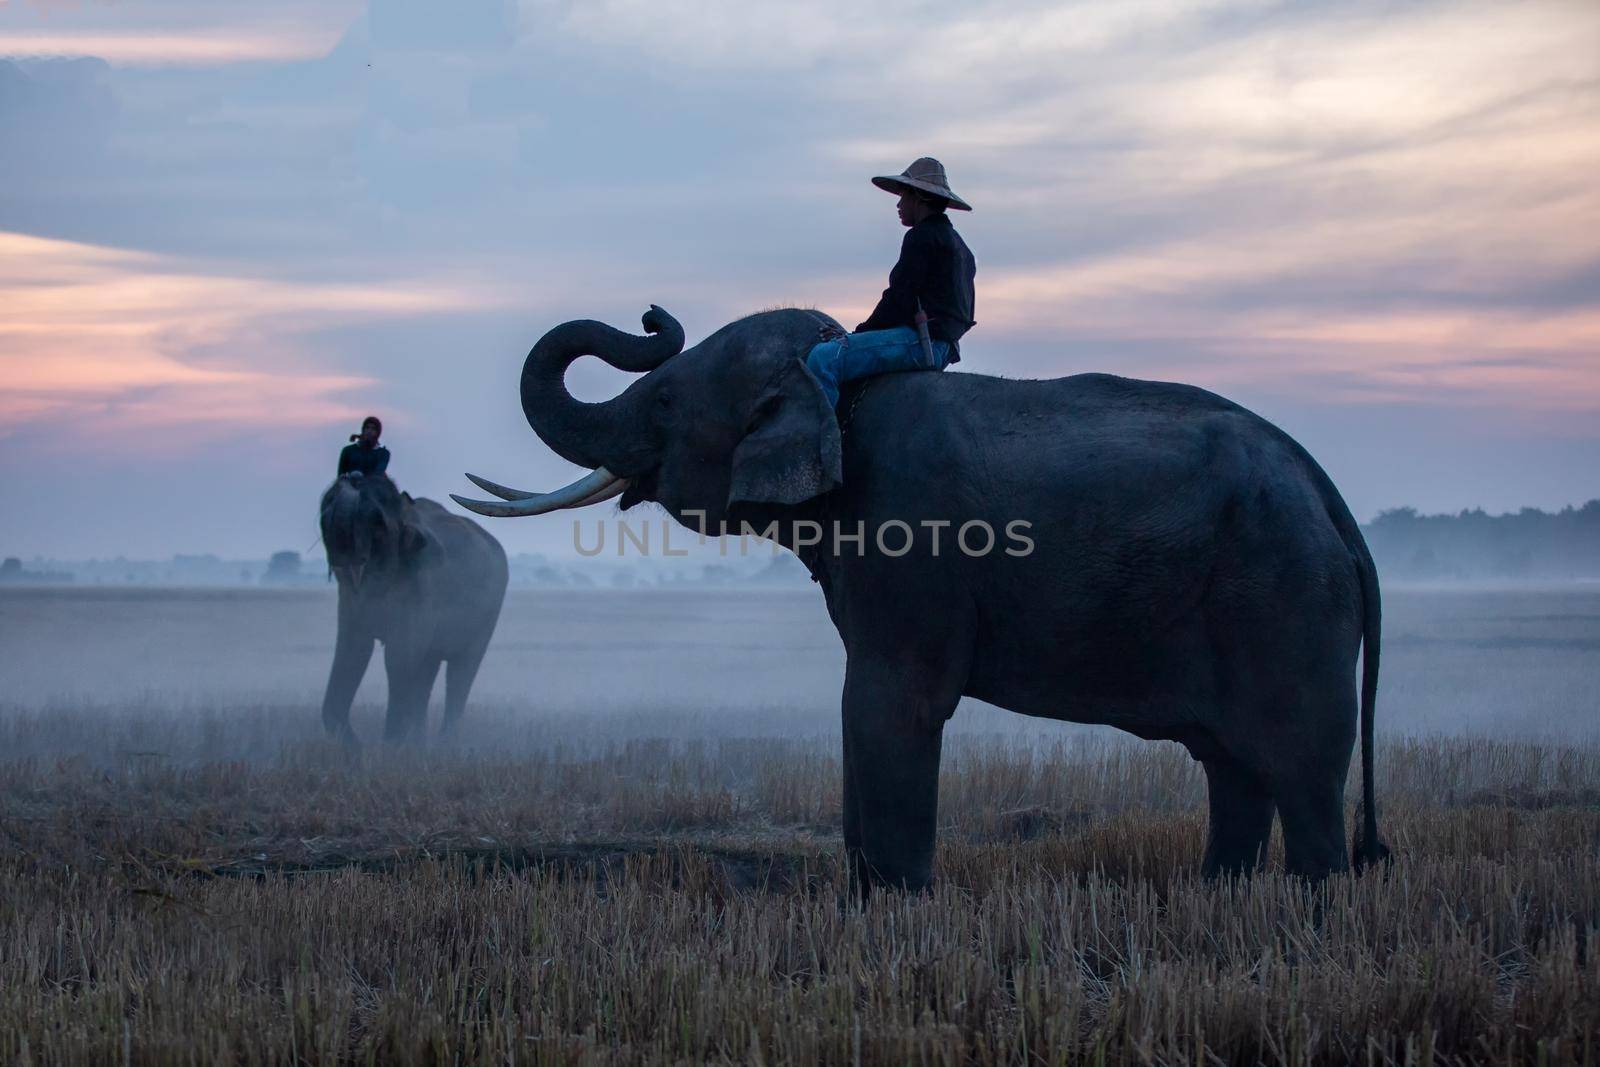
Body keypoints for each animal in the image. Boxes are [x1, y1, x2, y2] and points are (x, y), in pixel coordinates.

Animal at [318, 470, 505, 748]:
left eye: (378, 522)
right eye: (325, 506)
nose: (354, 475)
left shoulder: (422, 586)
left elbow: (399, 656)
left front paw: (389, 745)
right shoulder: (352, 598)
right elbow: (354, 650)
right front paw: (357, 747)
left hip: (489, 610)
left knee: (460, 672)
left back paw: (444, 742)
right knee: (428, 669)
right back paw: (420, 741)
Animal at [451, 303, 1388, 889]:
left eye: (669, 397)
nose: (652, 318)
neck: (839, 381)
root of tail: (1334, 501)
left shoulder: (912, 543)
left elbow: (892, 703)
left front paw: (895, 907)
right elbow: (855, 705)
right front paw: (860, 900)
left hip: (1285, 602)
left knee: (1300, 768)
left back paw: (1311, 913)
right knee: (1235, 769)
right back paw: (1218, 902)